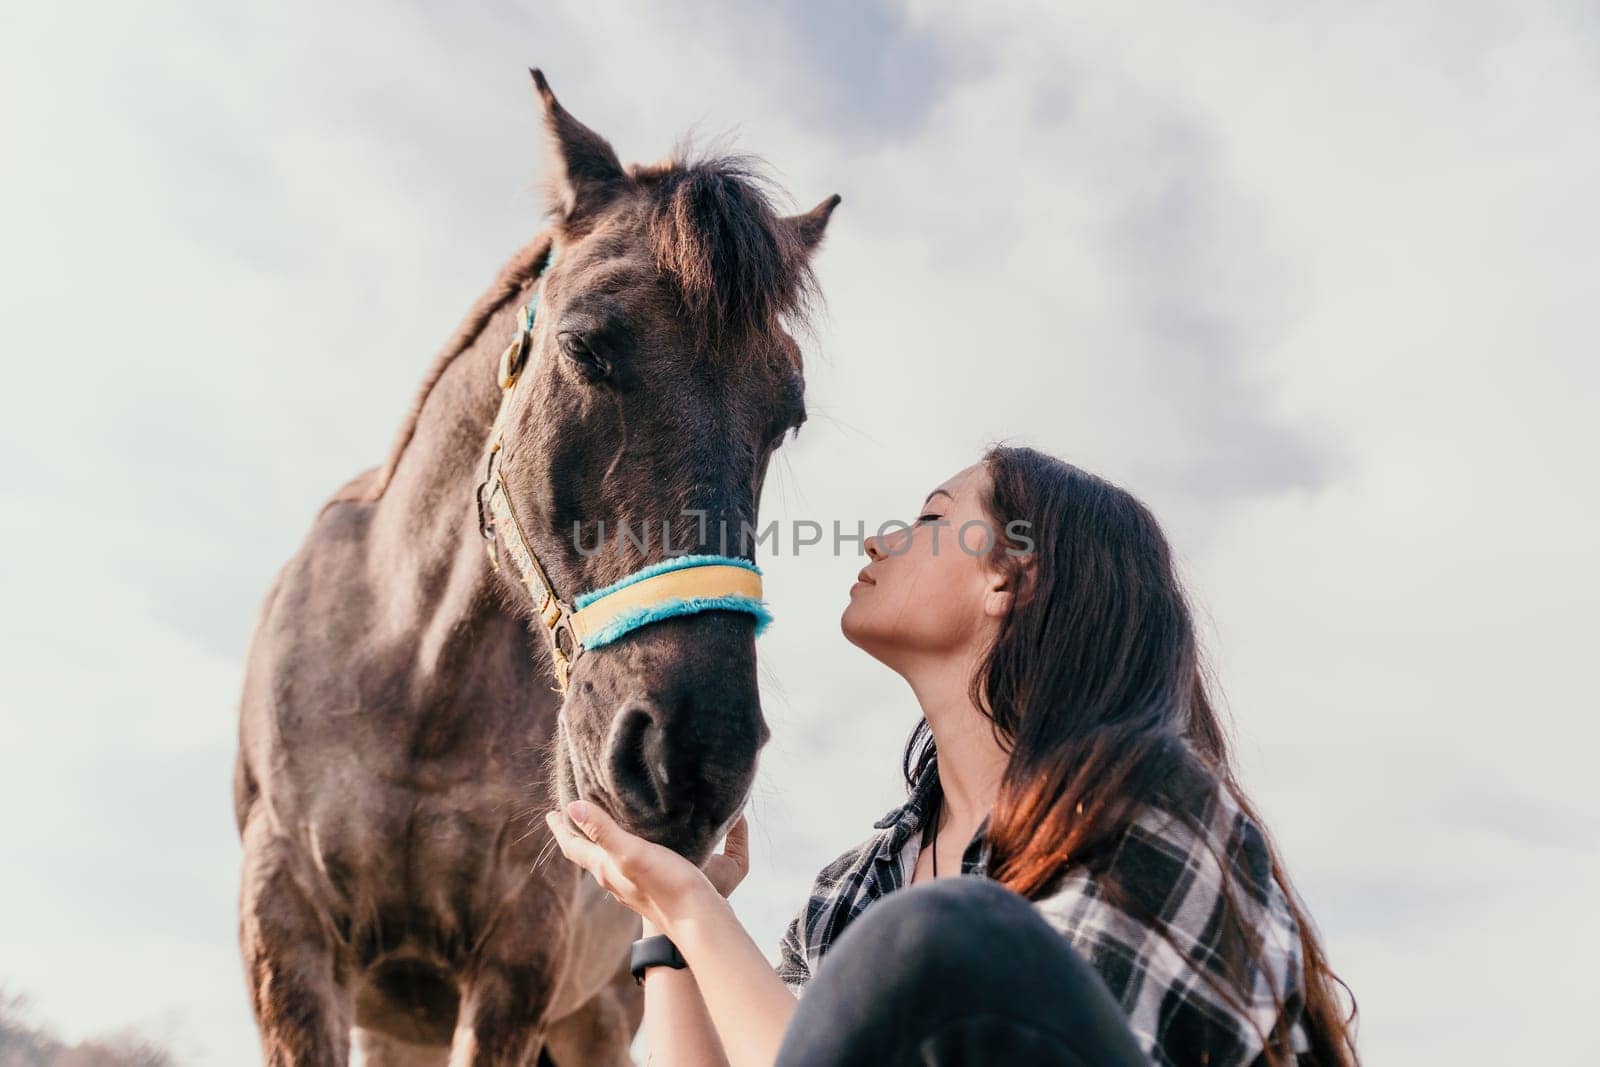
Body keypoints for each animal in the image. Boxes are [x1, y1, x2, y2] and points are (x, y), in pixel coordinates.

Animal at [233, 70, 851, 1062]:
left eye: (785, 412)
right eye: (586, 344)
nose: (692, 760)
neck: (416, 678)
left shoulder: (518, 960)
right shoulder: (284, 926)